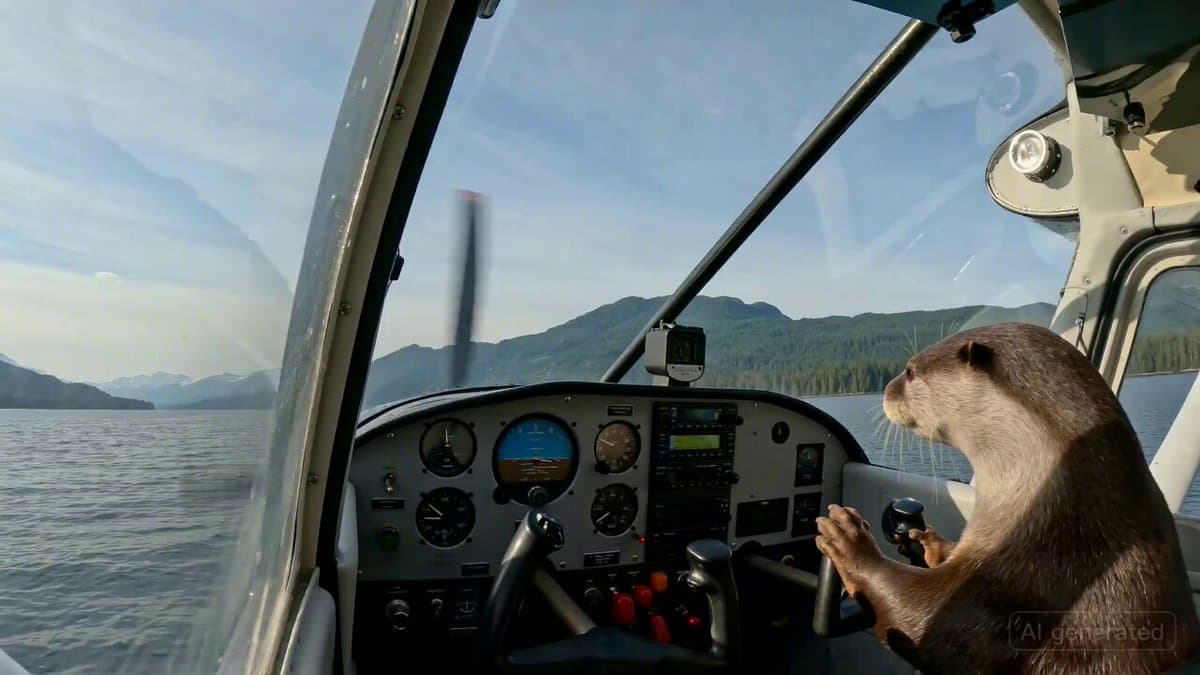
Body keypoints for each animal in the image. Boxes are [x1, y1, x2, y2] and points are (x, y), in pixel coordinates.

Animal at [815, 322, 1200, 674]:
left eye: (910, 371)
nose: (886, 388)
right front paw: (932, 543)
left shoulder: (1027, 582)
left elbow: (922, 617)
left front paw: (849, 539)